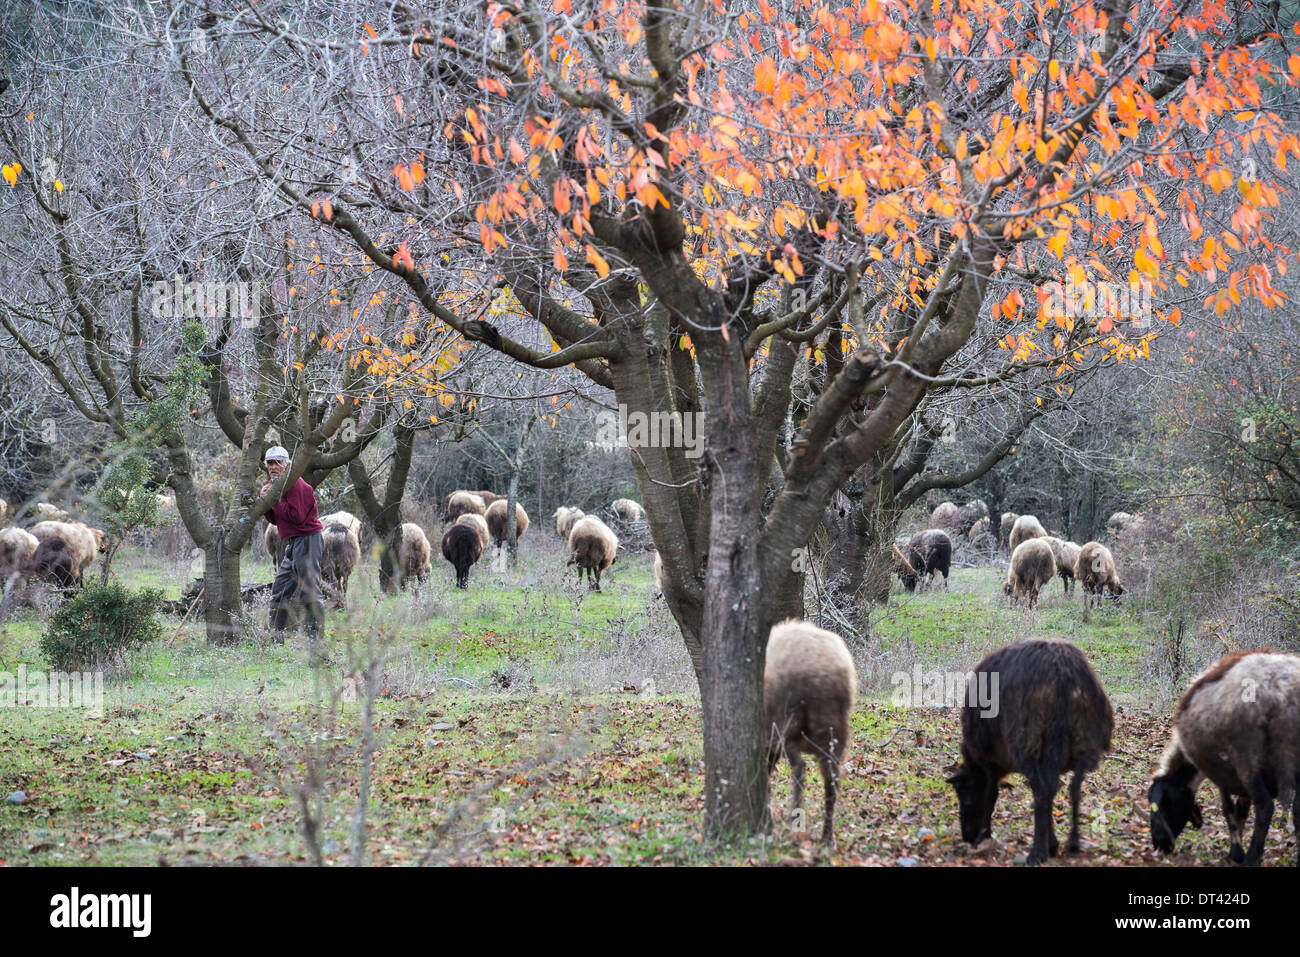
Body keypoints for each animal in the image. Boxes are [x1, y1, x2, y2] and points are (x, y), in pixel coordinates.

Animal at [764, 613, 857, 842]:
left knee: (799, 768)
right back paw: (827, 838)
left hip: (788, 725)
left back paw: (793, 819)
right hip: (833, 731)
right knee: (832, 782)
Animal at [946, 634, 1118, 868]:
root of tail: (1062, 674)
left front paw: (985, 835)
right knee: (1072, 789)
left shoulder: (988, 760)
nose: (968, 837)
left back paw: (1036, 853)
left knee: (1042, 791)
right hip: (1084, 739)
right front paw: (1053, 844)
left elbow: (991, 796)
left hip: (1027, 741)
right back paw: (1072, 844)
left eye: (963, 795)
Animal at [1149, 650, 1300, 868]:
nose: (1158, 846)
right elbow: (1241, 810)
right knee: (1297, 810)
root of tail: (1281, 694)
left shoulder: (1221, 772)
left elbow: (1228, 810)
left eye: (1162, 808)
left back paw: (1251, 859)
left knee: (1265, 807)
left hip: (1246, 755)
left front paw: (1236, 853)